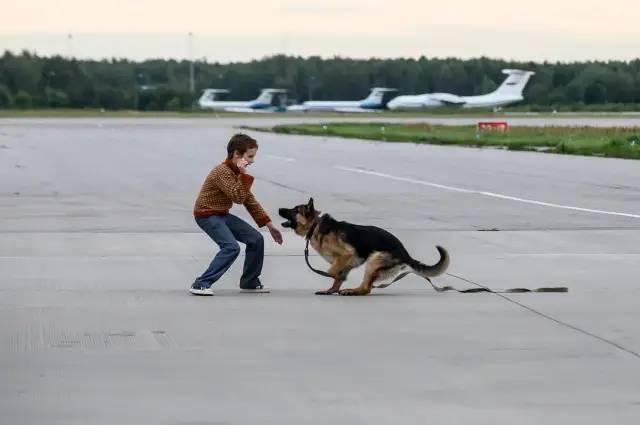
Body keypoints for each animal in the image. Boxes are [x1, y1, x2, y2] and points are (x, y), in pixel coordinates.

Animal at [278, 198, 450, 294]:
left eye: (295, 210)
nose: (279, 209)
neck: (315, 225)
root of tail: (406, 254)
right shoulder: (346, 261)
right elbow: (337, 277)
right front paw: (331, 290)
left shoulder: (346, 255)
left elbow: (332, 272)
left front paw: (334, 279)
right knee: (367, 287)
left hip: (375, 259)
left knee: (367, 289)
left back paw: (351, 291)